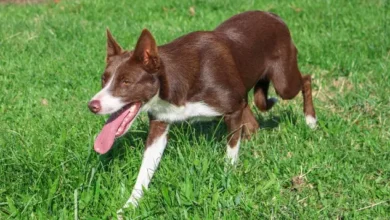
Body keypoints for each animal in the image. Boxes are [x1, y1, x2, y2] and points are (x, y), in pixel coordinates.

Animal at [87, 9, 314, 211]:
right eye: (104, 79)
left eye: (126, 82)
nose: (92, 105)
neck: (173, 82)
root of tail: (273, 15)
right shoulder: (160, 123)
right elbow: (145, 169)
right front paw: (129, 206)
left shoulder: (232, 110)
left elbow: (230, 152)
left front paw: (227, 179)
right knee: (252, 114)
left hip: (284, 82)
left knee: (305, 80)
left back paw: (310, 121)